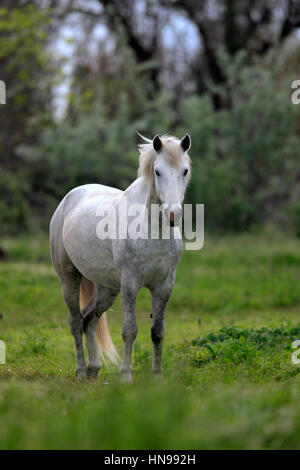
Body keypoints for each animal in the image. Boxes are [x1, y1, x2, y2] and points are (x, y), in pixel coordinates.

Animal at [49, 133, 190, 382]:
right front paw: (126, 376)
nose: (173, 215)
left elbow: (158, 332)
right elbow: (129, 331)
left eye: (184, 170)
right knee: (75, 322)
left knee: (89, 320)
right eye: (158, 171)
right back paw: (81, 372)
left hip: (108, 289)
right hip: (69, 278)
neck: (152, 232)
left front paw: (157, 376)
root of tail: (68, 198)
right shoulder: (130, 285)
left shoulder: (164, 286)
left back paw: (94, 369)